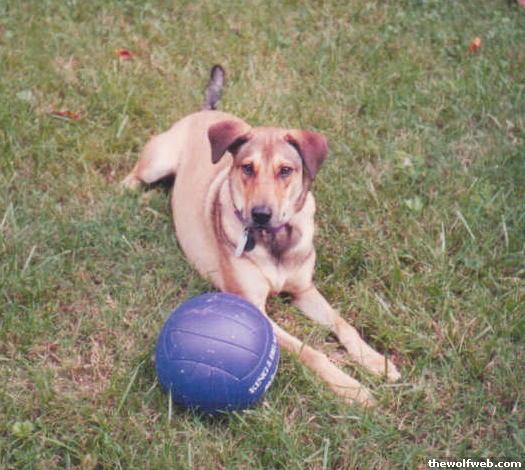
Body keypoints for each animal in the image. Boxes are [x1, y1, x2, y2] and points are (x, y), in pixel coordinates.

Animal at [122, 65, 400, 406]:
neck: (275, 241)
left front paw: (376, 361)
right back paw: (136, 195)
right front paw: (351, 387)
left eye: (286, 170)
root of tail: (205, 112)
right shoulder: (256, 307)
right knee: (134, 175)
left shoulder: (304, 290)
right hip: (157, 161)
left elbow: (343, 323)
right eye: (247, 168)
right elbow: (312, 352)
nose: (261, 214)